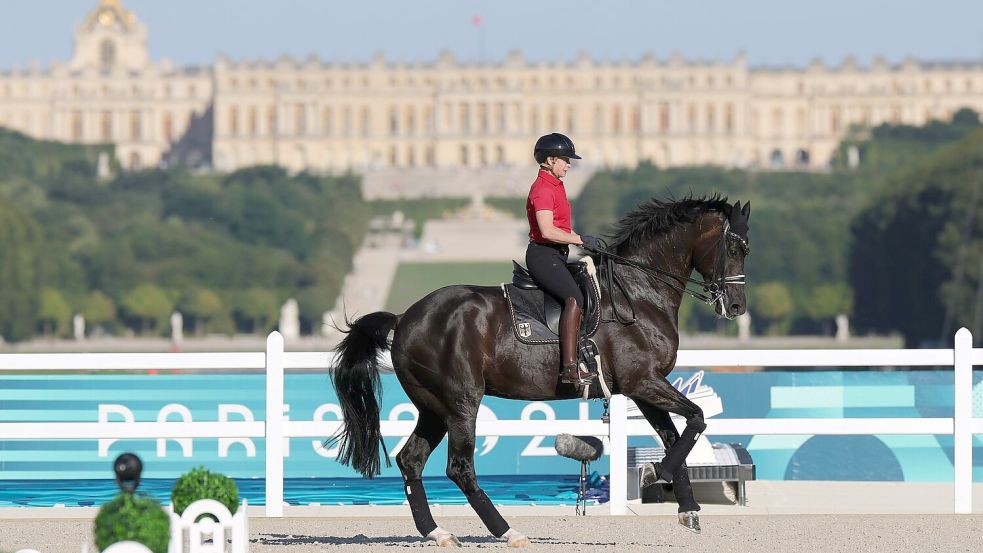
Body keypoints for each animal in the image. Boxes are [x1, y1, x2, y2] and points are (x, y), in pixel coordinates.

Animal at [330, 196, 752, 544]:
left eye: (745, 249)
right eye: (734, 247)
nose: (736, 308)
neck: (639, 292)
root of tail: (404, 318)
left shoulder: (643, 387)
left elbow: (675, 434)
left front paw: (687, 508)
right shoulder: (644, 381)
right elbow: (696, 419)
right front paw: (660, 473)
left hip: (433, 408)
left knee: (411, 460)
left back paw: (438, 533)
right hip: (461, 403)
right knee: (459, 468)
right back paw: (507, 532)